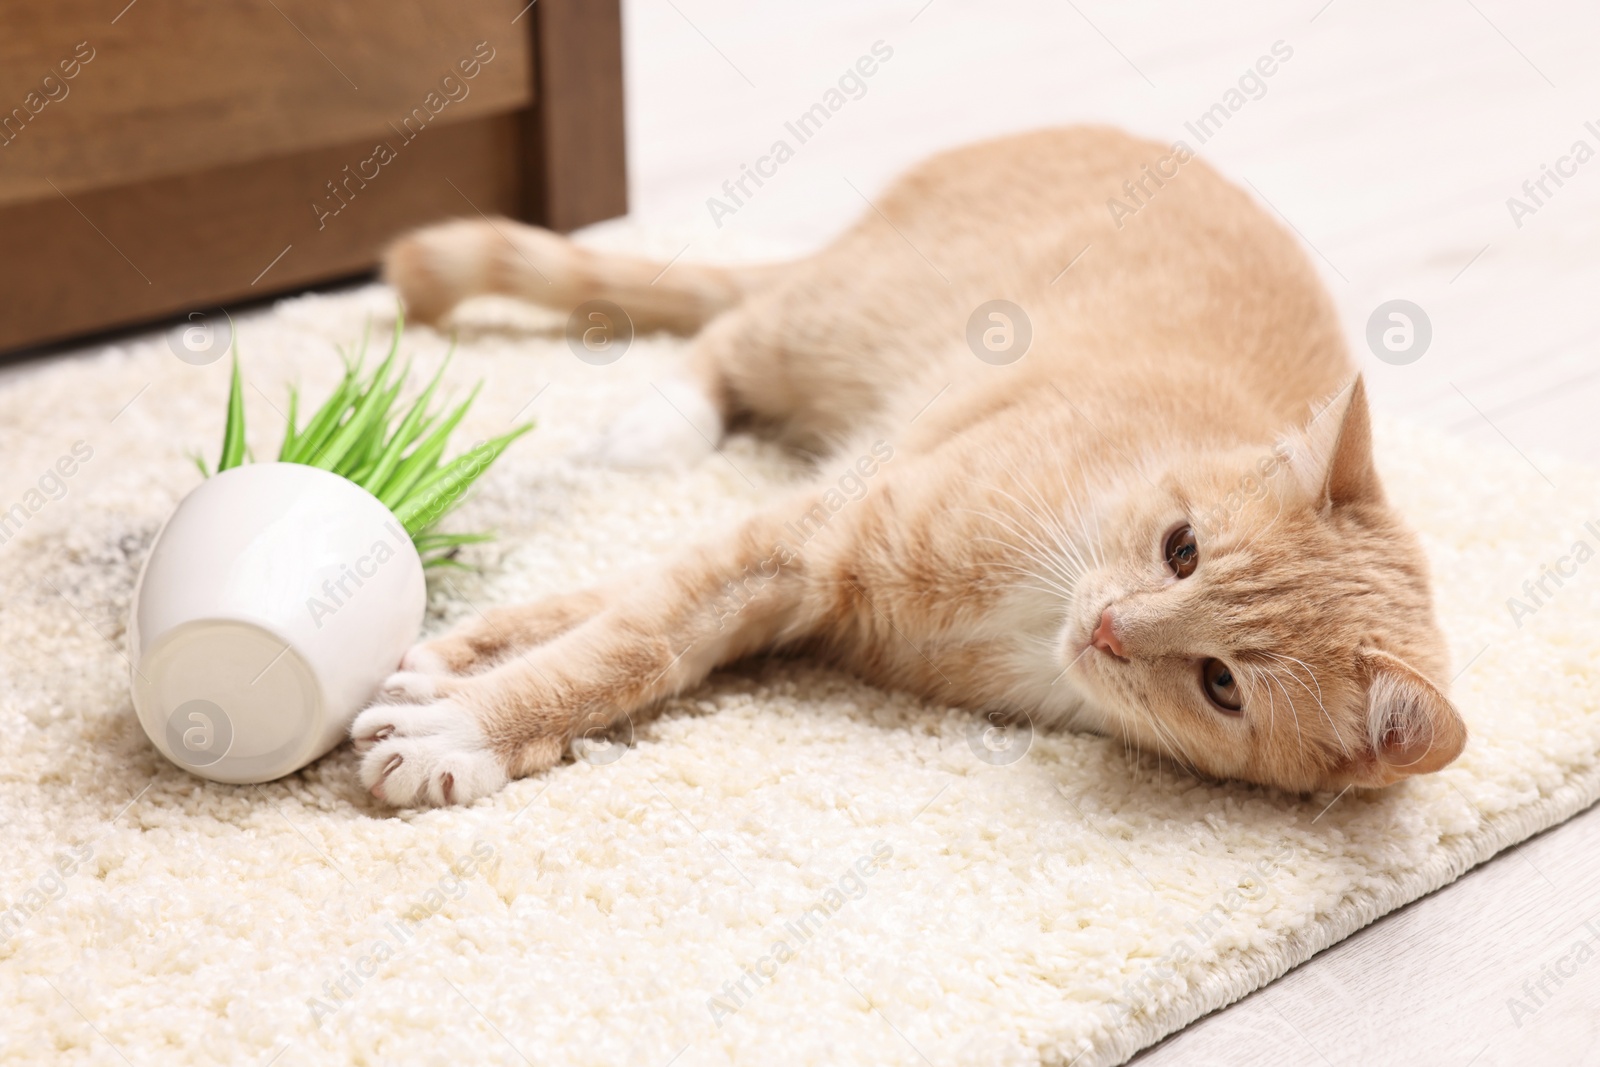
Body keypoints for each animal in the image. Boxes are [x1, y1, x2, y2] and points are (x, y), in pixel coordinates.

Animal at [356, 127, 1465, 809]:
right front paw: (470, 713)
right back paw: (660, 422)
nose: (1110, 627)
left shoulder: (799, 560)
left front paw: (453, 678)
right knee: (728, 333)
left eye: (1221, 683)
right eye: (1181, 549)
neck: (1044, 599)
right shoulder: (810, 534)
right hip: (827, 320)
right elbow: (630, 637)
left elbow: (621, 610)